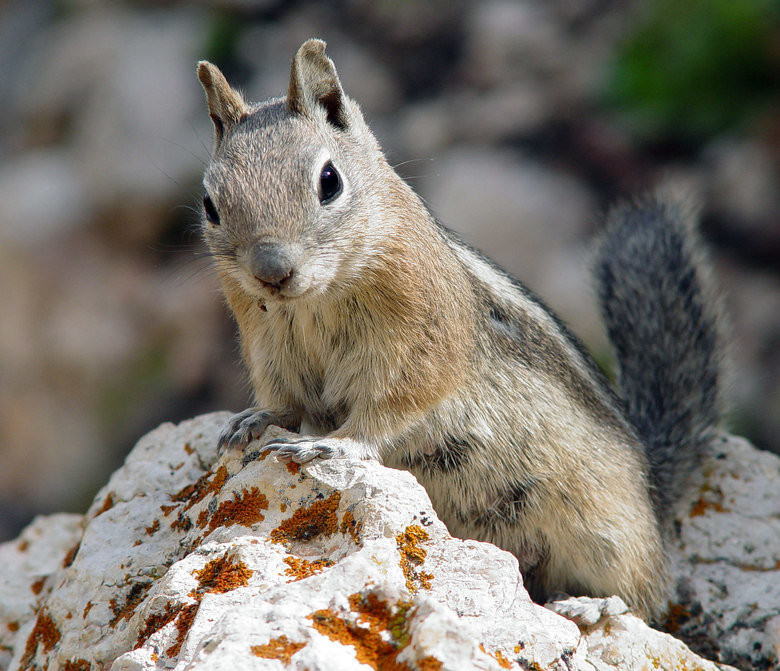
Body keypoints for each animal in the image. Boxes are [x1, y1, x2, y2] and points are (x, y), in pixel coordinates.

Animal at [195, 39, 722, 621]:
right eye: (210, 205)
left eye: (329, 182)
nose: (272, 271)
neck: (314, 301)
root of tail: (655, 492)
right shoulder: (267, 348)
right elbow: (284, 402)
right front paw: (255, 419)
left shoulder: (422, 344)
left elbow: (392, 407)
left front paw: (337, 446)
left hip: (605, 534)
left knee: (645, 596)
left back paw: (590, 606)